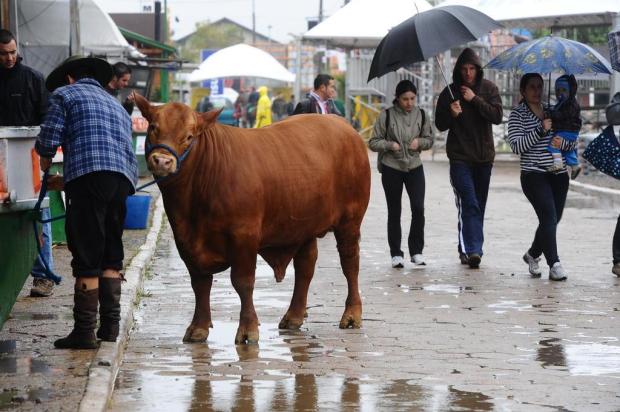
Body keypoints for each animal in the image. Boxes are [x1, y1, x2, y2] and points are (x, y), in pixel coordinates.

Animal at [134, 94, 368, 344]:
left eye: (189, 136)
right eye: (153, 127)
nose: (162, 161)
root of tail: (344, 126)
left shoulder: (244, 236)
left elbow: (243, 282)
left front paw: (248, 329)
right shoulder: (185, 240)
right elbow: (199, 284)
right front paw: (198, 328)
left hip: (350, 221)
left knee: (350, 264)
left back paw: (351, 315)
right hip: (303, 225)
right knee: (305, 266)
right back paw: (293, 316)